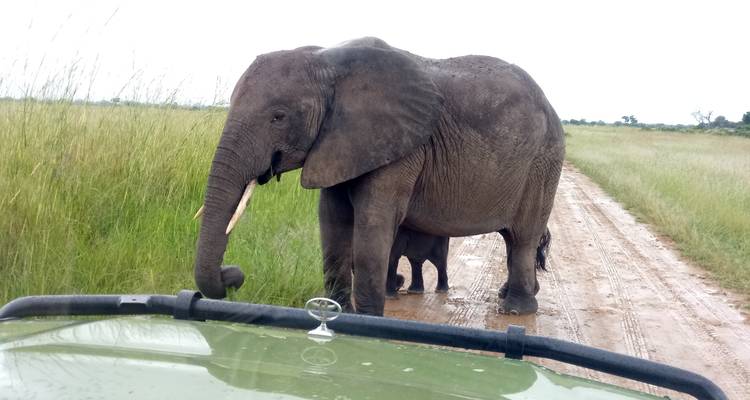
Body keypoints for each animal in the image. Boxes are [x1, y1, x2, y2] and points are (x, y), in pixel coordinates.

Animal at [193, 37, 565, 316]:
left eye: (278, 116)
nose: (234, 275)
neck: (328, 61)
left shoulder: (400, 148)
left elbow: (373, 224)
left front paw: (369, 320)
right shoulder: (338, 143)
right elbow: (332, 222)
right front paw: (338, 312)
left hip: (543, 162)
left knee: (523, 237)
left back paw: (517, 309)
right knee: (513, 239)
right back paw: (509, 297)